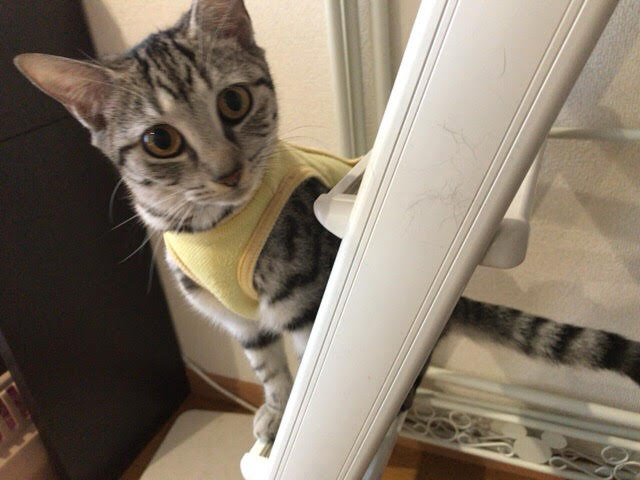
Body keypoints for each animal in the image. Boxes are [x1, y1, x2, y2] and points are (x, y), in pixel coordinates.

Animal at [14, 0, 640, 441]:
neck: (213, 230)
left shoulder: (306, 306)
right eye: (159, 140)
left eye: (234, 102)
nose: (227, 170)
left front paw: (290, 419)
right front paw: (273, 410)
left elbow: (311, 377)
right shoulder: (241, 322)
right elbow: (268, 369)